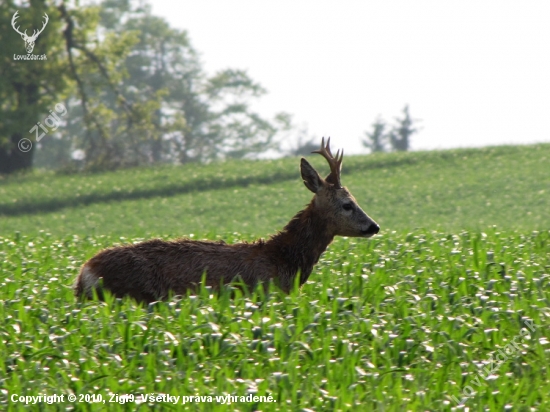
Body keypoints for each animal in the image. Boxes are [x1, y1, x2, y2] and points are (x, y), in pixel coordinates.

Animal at [74, 138, 380, 302]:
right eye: (347, 204)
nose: (374, 226)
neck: (281, 259)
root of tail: (85, 272)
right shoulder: (263, 292)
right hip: (136, 295)